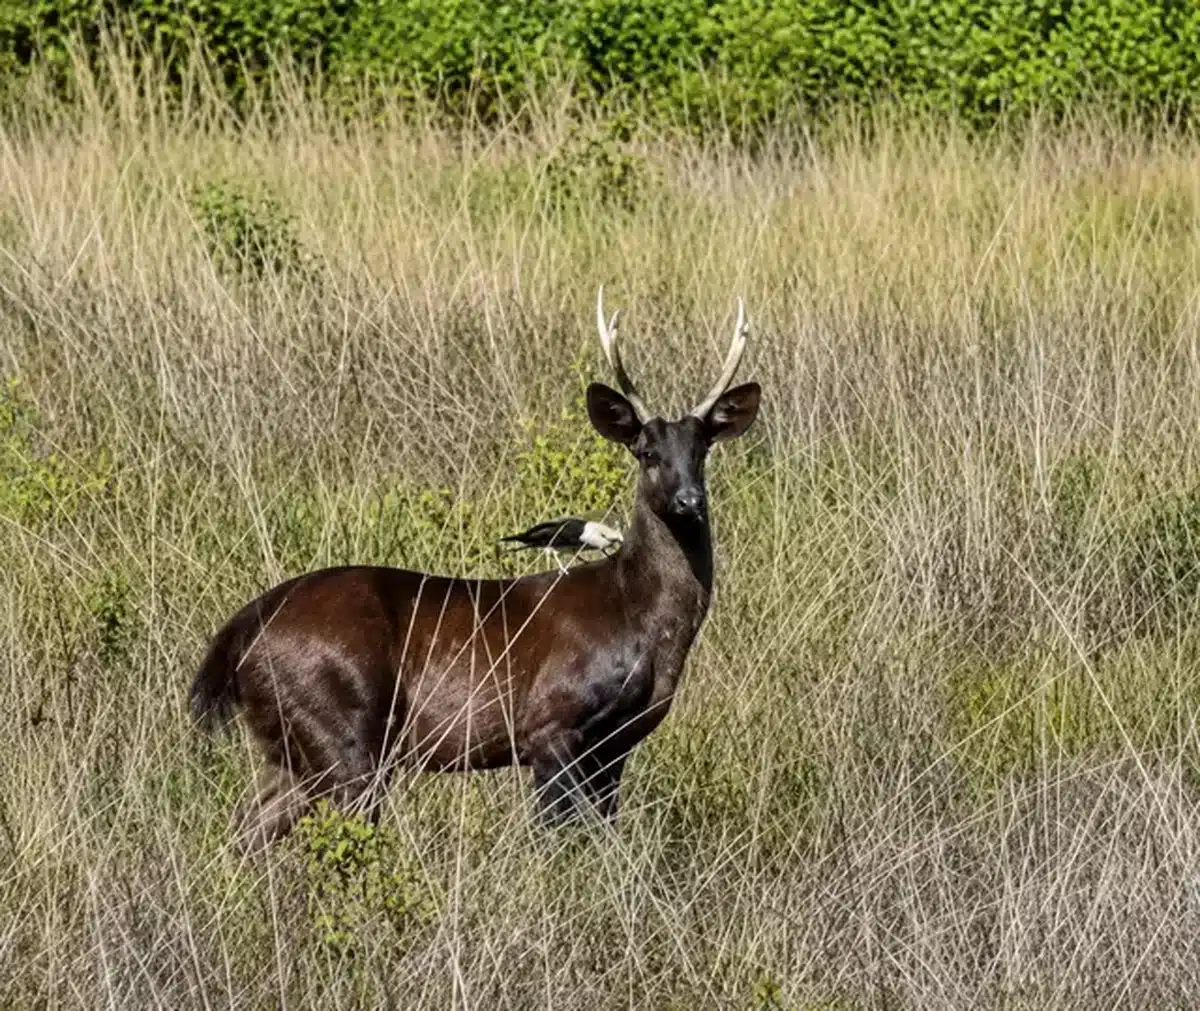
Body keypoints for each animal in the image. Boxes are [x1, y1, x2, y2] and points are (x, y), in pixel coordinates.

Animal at [190, 288, 761, 851]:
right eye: (646, 452)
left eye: (702, 449)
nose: (690, 501)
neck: (639, 617)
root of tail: (240, 632)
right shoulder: (549, 722)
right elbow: (558, 838)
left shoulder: (615, 745)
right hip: (341, 726)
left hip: (293, 747)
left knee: (245, 830)